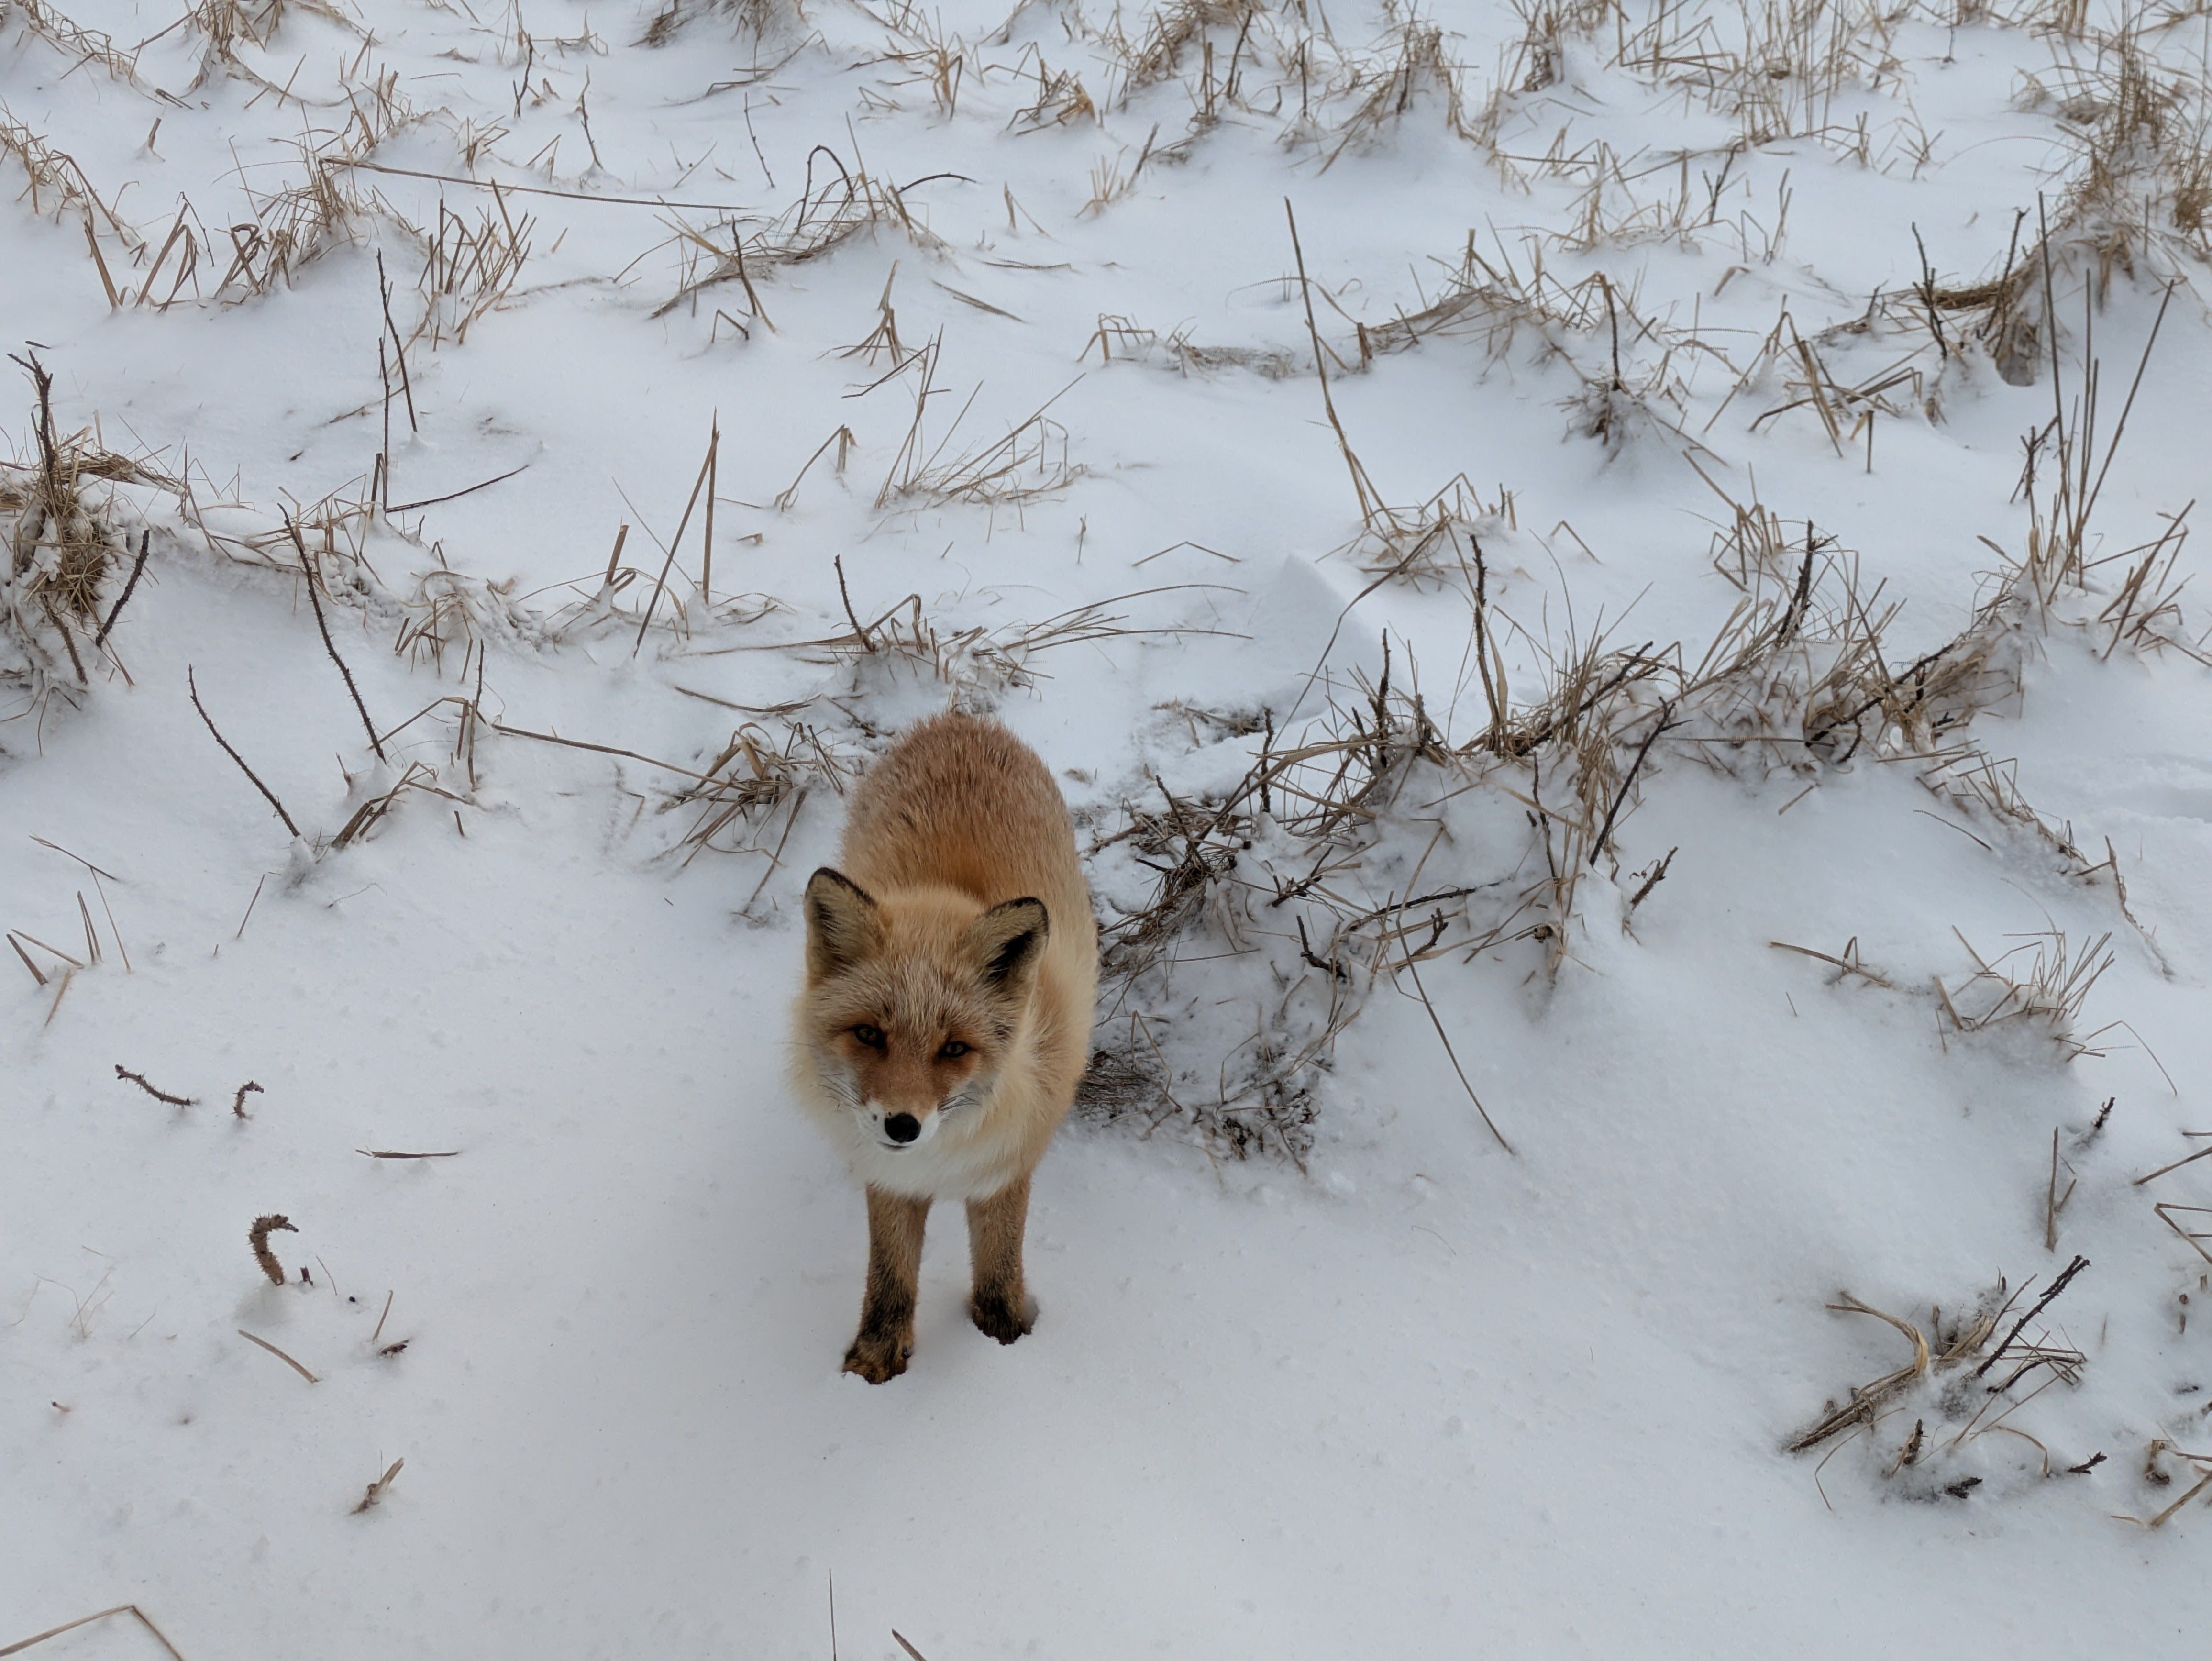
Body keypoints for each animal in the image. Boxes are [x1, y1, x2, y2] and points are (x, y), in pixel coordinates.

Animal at [791, 711, 1098, 1383]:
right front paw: (875, 1363)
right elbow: (889, 1277)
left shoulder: (1008, 1167)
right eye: (869, 1034)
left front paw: (1004, 1341)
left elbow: (998, 1268)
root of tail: (957, 719)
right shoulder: (889, 1178)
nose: (902, 1125)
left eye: (954, 1048)